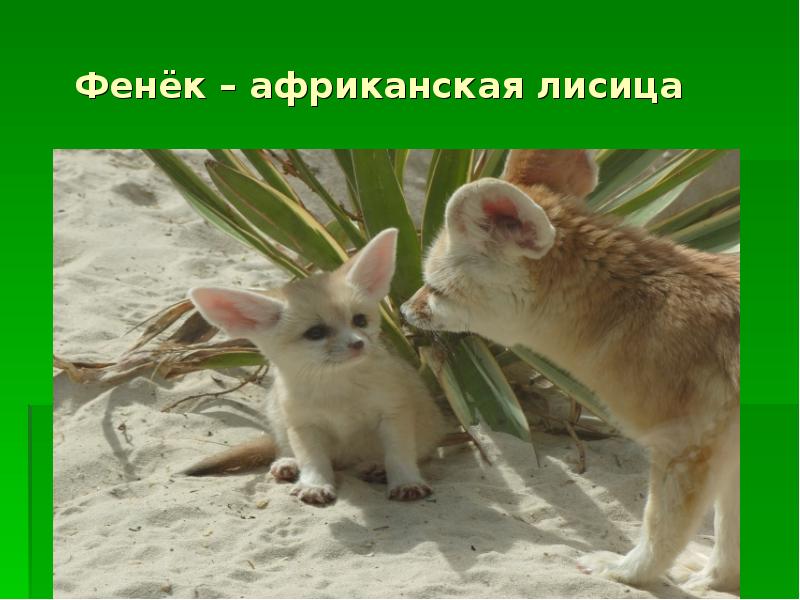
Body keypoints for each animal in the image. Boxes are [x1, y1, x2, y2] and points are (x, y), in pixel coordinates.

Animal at [186, 228, 446, 506]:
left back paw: (375, 466)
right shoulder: (303, 424)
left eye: (359, 320)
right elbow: (313, 459)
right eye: (316, 333)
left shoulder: (394, 412)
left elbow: (399, 454)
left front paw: (406, 482)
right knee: (286, 447)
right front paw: (314, 484)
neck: (336, 388)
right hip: (277, 414)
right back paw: (288, 463)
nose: (358, 344)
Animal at [401, 150, 740, 593]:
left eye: (435, 289)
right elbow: (729, 534)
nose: (402, 311)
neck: (639, 310)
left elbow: (660, 529)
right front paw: (717, 579)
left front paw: (628, 572)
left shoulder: (684, 444)